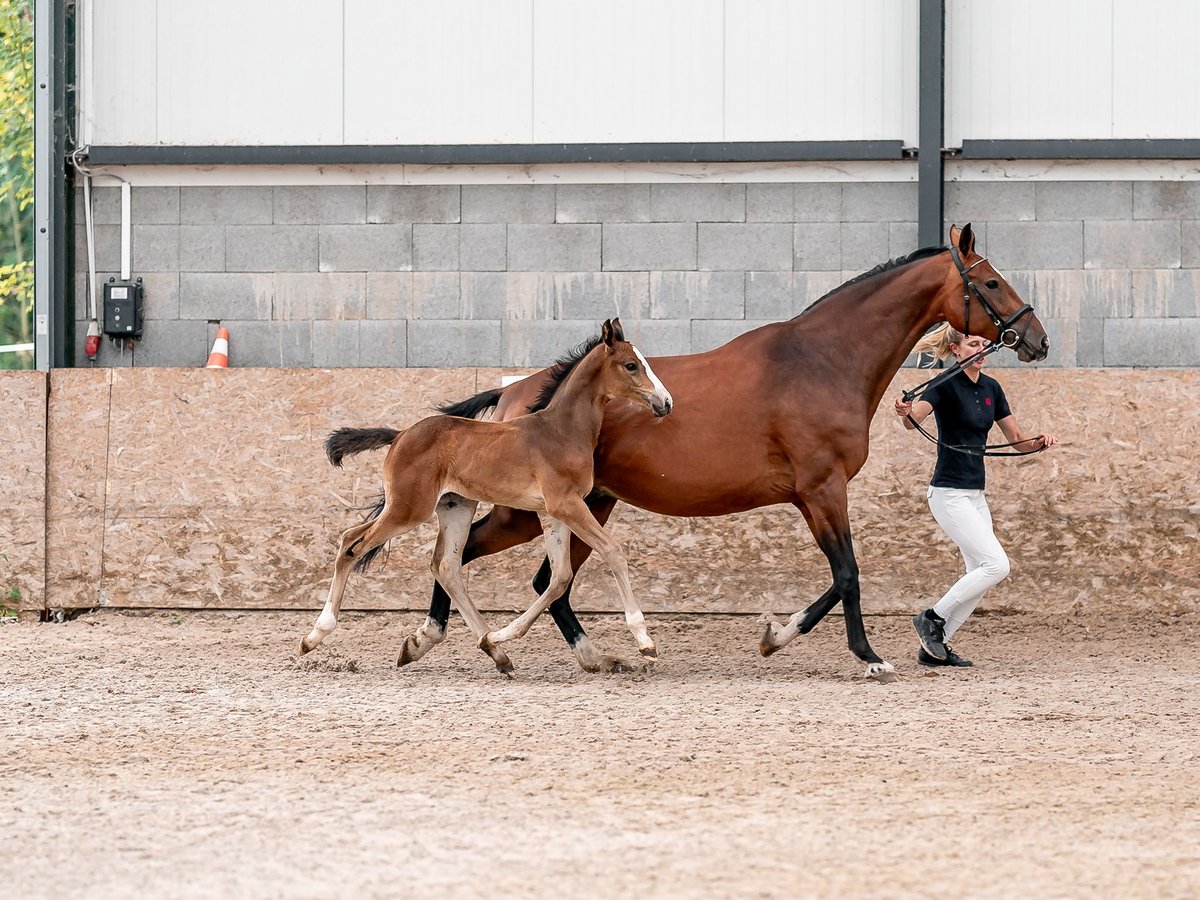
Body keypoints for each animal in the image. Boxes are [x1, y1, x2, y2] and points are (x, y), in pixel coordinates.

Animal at [297, 319, 676, 676]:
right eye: (631, 365)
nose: (666, 403)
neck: (561, 432)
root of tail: (400, 434)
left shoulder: (552, 513)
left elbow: (559, 578)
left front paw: (500, 635)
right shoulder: (566, 504)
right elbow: (612, 552)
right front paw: (645, 641)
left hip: (454, 507)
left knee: (443, 565)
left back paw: (495, 651)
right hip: (408, 509)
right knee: (352, 544)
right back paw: (313, 636)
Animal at [408, 225, 1046, 676]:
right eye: (991, 282)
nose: (1036, 338)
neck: (821, 361)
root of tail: (517, 393)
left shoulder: (814, 496)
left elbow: (836, 578)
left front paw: (776, 636)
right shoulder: (823, 490)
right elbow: (847, 574)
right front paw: (867, 657)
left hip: (590, 505)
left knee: (545, 579)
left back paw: (587, 656)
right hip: (530, 509)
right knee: (461, 557)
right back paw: (441, 640)